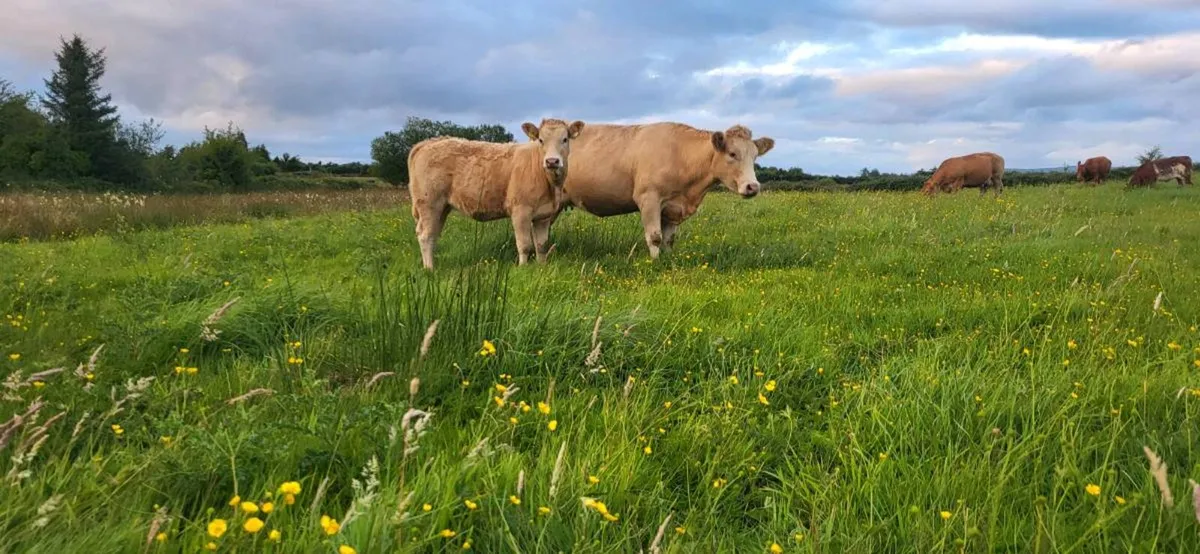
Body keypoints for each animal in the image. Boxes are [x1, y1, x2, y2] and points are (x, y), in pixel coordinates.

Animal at [407, 118, 585, 269]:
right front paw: (523, 268)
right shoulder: (520, 211)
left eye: (565, 139)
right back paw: (430, 269)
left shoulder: (544, 215)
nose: (552, 161)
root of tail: (429, 142)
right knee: (425, 235)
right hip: (429, 203)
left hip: (442, 207)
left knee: (433, 234)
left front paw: (541, 266)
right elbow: (524, 244)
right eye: (541, 140)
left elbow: (541, 245)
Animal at [553, 122, 775, 259]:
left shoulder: (673, 207)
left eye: (755, 156)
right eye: (732, 153)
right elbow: (655, 236)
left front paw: (668, 260)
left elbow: (669, 239)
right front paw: (655, 262)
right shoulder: (649, 198)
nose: (753, 186)